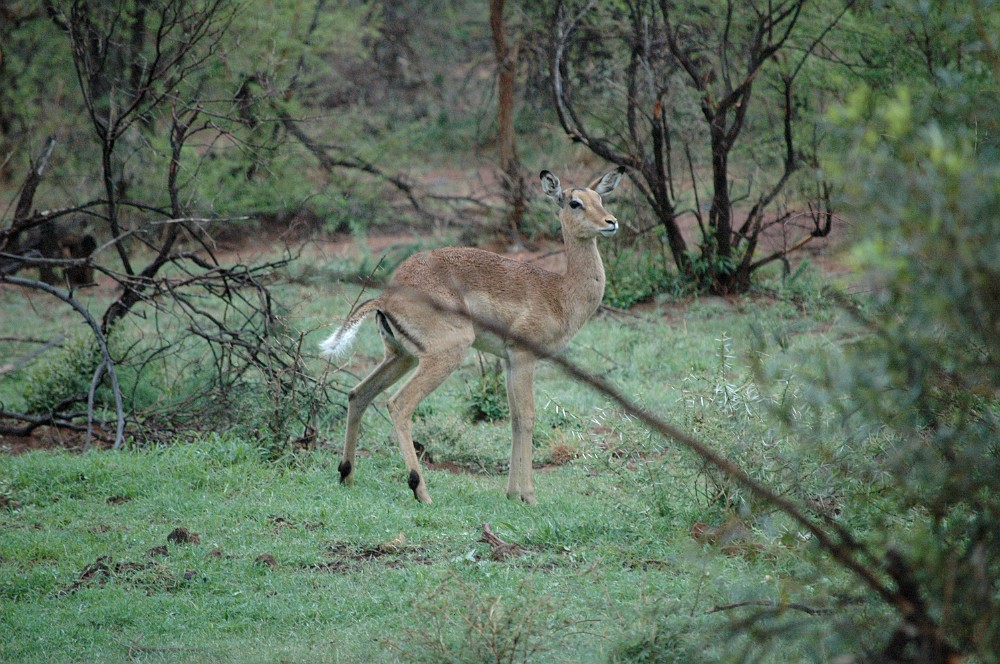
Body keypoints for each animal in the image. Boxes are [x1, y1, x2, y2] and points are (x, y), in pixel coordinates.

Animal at [320, 167, 624, 503]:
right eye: (574, 202)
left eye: (600, 198)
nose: (611, 222)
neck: (559, 292)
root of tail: (387, 296)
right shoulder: (524, 356)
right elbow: (528, 418)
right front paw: (529, 496)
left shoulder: (509, 361)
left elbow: (514, 420)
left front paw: (511, 493)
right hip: (445, 354)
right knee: (398, 405)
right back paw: (421, 491)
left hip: (401, 357)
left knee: (358, 394)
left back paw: (346, 476)